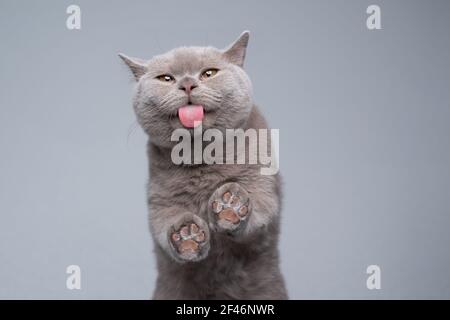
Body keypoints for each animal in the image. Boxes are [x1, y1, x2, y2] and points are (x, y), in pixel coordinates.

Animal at [119, 31, 286, 298]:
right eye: (166, 78)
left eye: (209, 73)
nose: (187, 84)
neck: (201, 154)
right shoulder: (160, 201)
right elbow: (163, 226)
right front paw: (187, 235)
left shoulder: (262, 184)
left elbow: (259, 214)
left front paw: (231, 205)